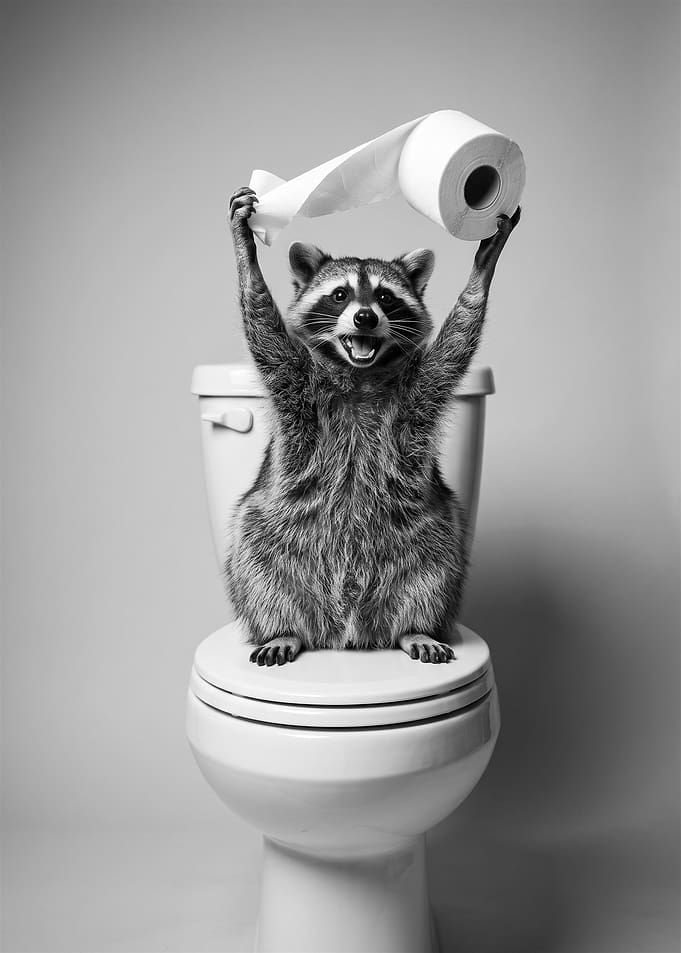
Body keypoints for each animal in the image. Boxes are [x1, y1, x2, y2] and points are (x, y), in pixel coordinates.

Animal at [226, 186, 520, 665]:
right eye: (340, 295)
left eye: (385, 298)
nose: (365, 317)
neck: (360, 374)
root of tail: (345, 633)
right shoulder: (296, 387)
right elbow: (264, 329)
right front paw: (245, 253)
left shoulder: (417, 392)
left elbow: (455, 346)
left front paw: (483, 269)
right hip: (272, 531)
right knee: (253, 553)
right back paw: (282, 629)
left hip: (425, 534)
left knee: (439, 560)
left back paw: (414, 628)